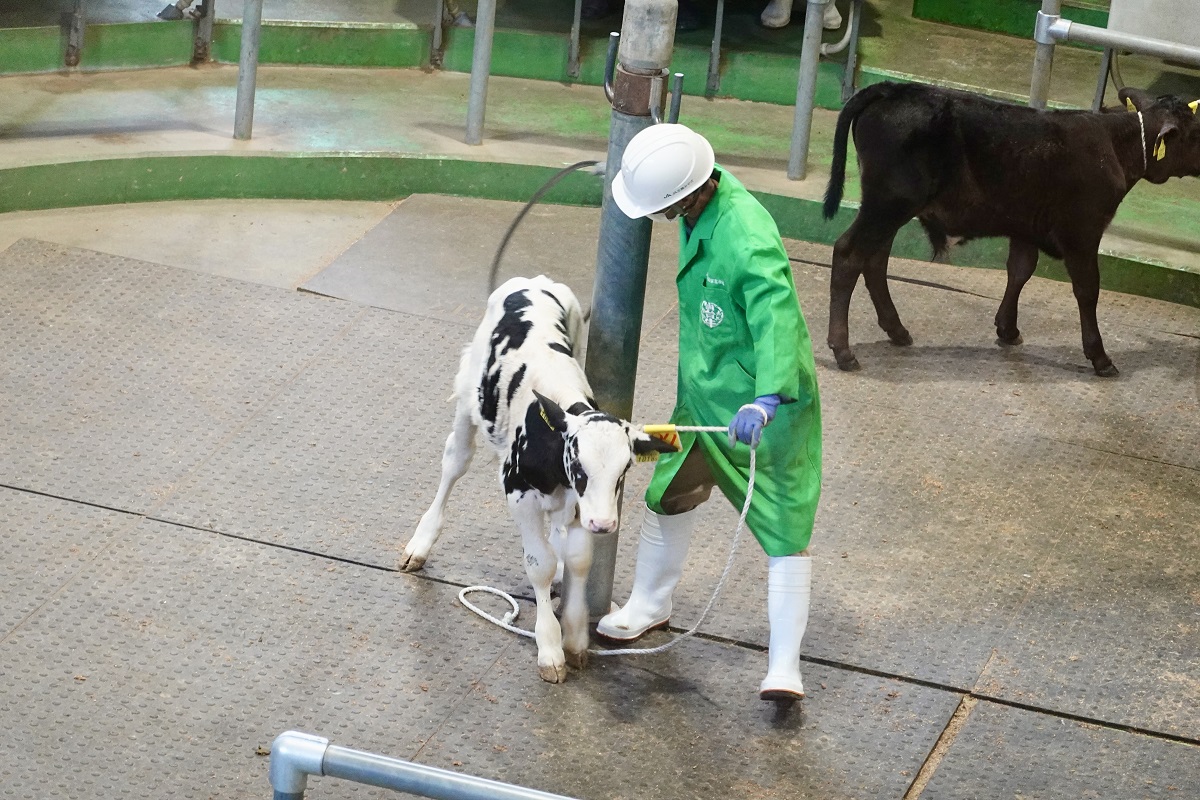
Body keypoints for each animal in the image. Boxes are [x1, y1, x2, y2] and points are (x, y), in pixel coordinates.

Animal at [400, 273, 676, 681]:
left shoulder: (579, 507)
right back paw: (420, 544)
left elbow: (580, 560)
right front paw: (549, 647)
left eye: (624, 470)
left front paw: (575, 636)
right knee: (454, 461)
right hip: (469, 397)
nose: (604, 524)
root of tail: (533, 280)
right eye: (578, 465)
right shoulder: (519, 493)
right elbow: (539, 564)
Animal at [825, 82, 1200, 376]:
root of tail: (893, 88)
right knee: (849, 254)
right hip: (888, 204)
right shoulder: (1082, 231)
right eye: (1196, 132)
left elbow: (1020, 270)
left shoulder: (1025, 224)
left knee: (875, 261)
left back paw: (897, 330)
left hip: (891, 208)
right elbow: (1087, 289)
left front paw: (1007, 329)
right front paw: (1099, 356)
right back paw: (843, 350)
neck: (1116, 144)